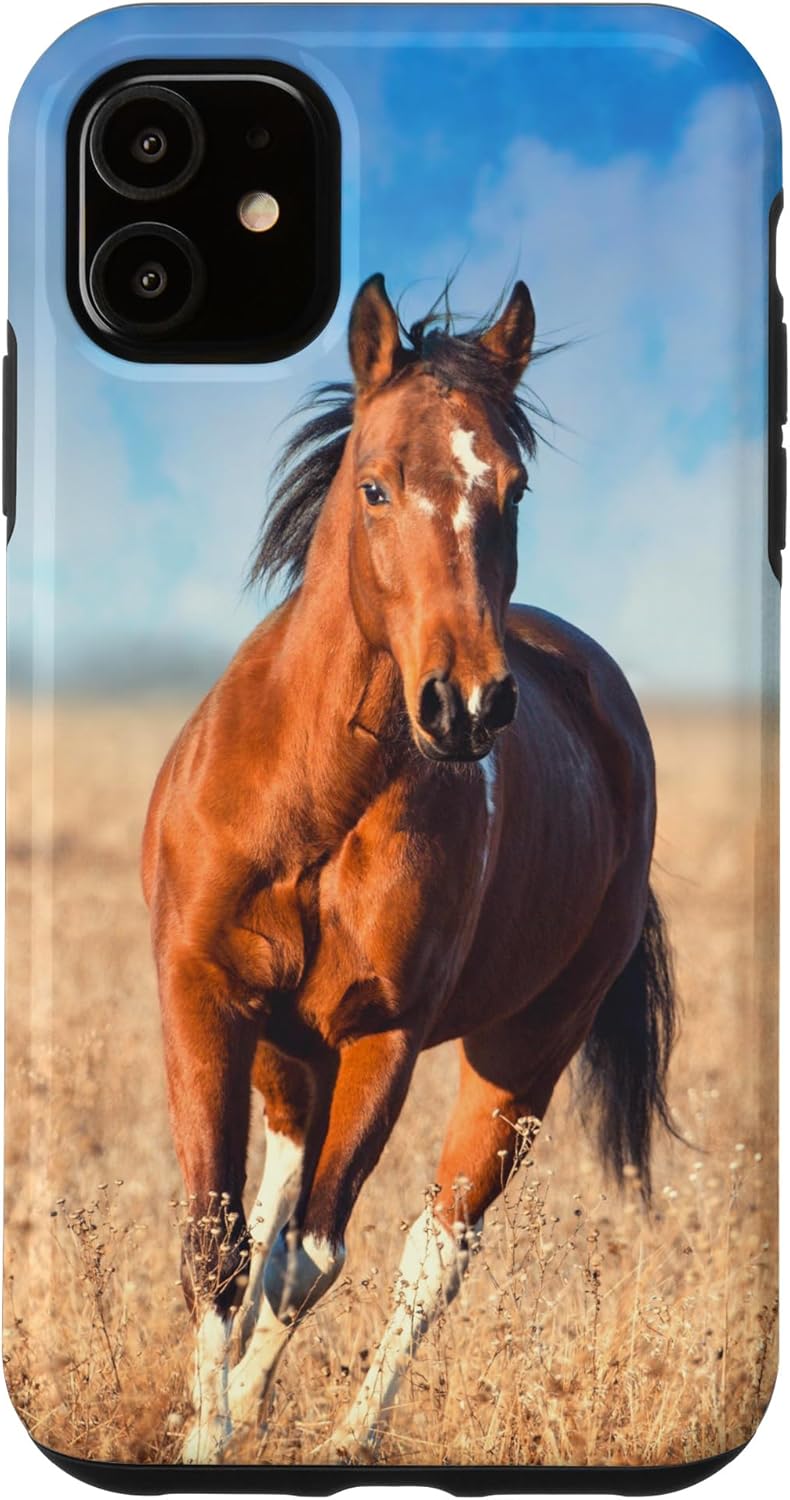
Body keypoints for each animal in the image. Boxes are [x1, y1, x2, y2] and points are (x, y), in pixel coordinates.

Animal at [141, 272, 676, 1465]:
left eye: (514, 489)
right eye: (376, 485)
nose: (466, 704)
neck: (313, 801)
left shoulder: (381, 1038)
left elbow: (310, 1262)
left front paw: (236, 1424)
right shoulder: (206, 996)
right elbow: (220, 1246)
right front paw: (206, 1429)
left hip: (518, 1058)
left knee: (433, 1254)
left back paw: (349, 1440)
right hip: (291, 1053)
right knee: (276, 1209)